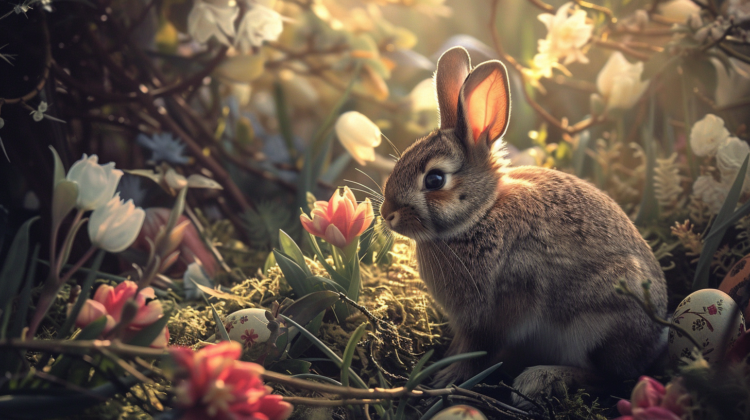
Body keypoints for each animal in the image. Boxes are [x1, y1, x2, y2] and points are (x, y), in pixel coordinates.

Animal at [382, 46, 668, 410]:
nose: (386, 213)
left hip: (600, 321)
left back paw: (540, 380)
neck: (481, 215)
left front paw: (447, 377)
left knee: (607, 376)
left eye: (434, 180)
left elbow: (479, 349)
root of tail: (656, 342)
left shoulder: (498, 310)